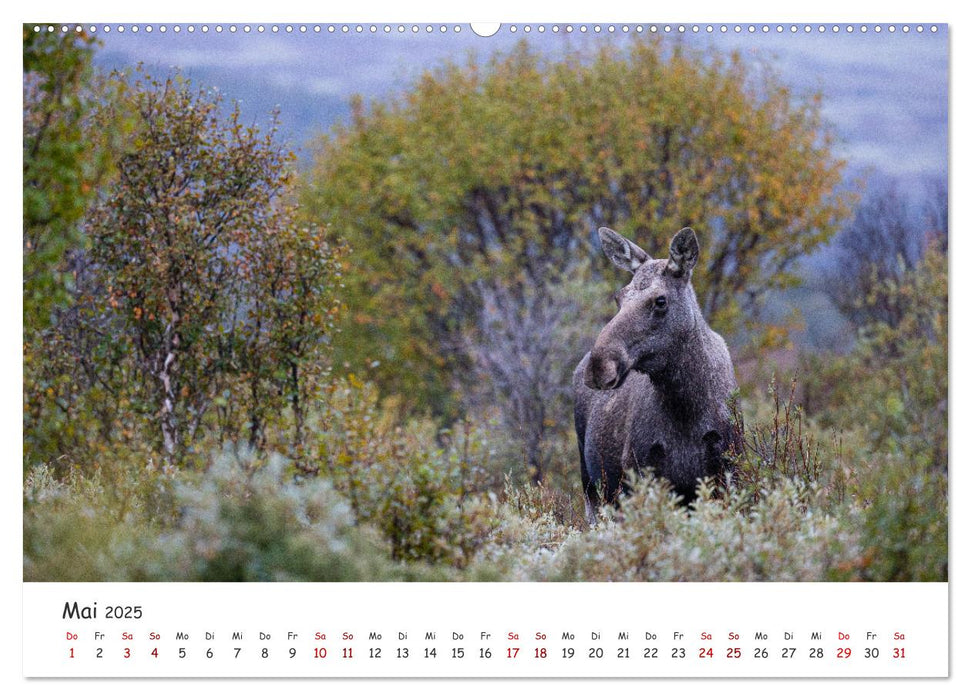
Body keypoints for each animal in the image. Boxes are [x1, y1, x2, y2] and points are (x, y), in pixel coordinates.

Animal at [572, 226, 740, 520]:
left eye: (660, 301)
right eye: (618, 297)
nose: (599, 366)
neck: (685, 407)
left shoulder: (727, 472)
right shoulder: (637, 472)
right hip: (592, 486)